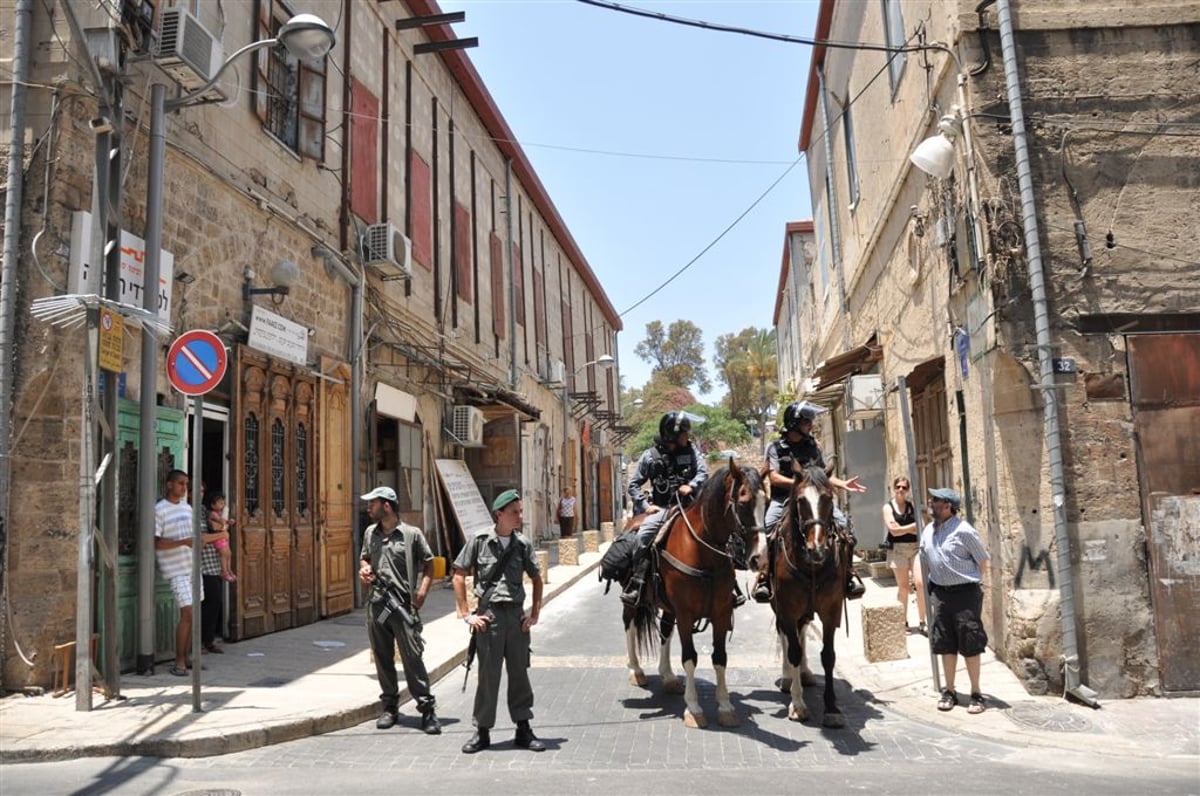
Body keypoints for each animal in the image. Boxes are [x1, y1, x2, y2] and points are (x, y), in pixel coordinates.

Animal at [624, 461, 763, 729]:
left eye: (767, 500)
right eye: (743, 502)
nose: (759, 557)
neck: (702, 550)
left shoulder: (721, 613)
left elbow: (720, 658)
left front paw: (726, 707)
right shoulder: (686, 615)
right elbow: (690, 658)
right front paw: (694, 709)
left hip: (668, 607)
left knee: (665, 631)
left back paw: (668, 677)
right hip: (633, 601)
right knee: (630, 626)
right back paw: (635, 671)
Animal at [768, 463, 854, 729]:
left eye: (828, 498)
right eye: (801, 500)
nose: (817, 548)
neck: (810, 565)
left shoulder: (831, 610)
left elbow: (828, 656)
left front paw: (832, 708)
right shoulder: (787, 609)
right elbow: (793, 649)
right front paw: (797, 705)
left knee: (802, 631)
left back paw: (804, 673)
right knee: (787, 637)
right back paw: (789, 678)